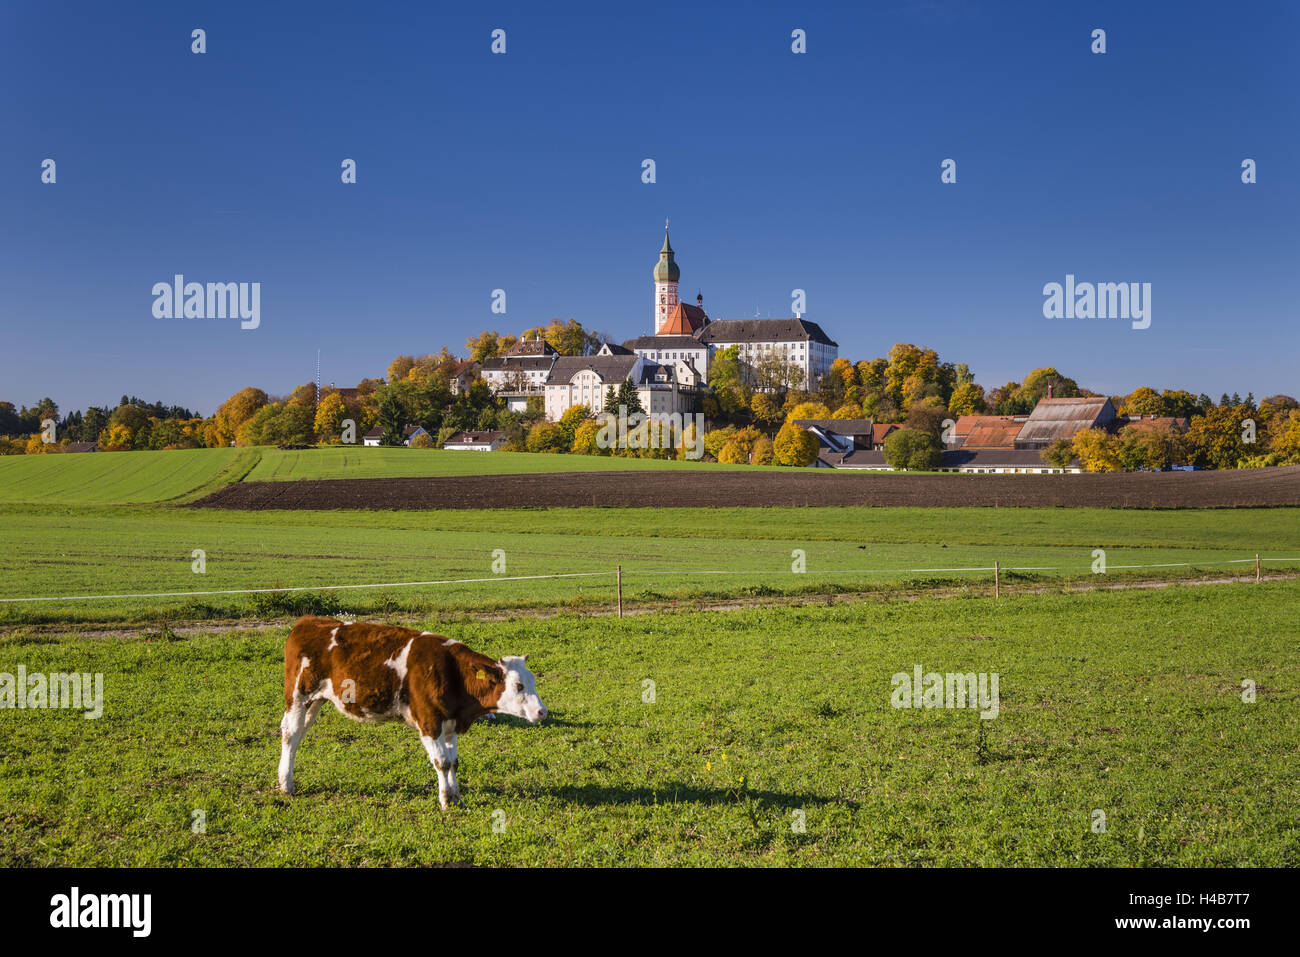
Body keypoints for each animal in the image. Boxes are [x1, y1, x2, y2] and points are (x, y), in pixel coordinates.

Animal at [276, 616, 546, 806]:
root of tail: (308, 622)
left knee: (299, 734)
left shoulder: (450, 725)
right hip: (298, 695)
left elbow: (453, 762)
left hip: (315, 701)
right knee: (290, 734)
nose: (542, 712)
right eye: (518, 685)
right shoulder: (429, 722)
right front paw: (446, 801)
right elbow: (442, 762)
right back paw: (286, 784)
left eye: (532, 681)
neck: (452, 673)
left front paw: (456, 796)